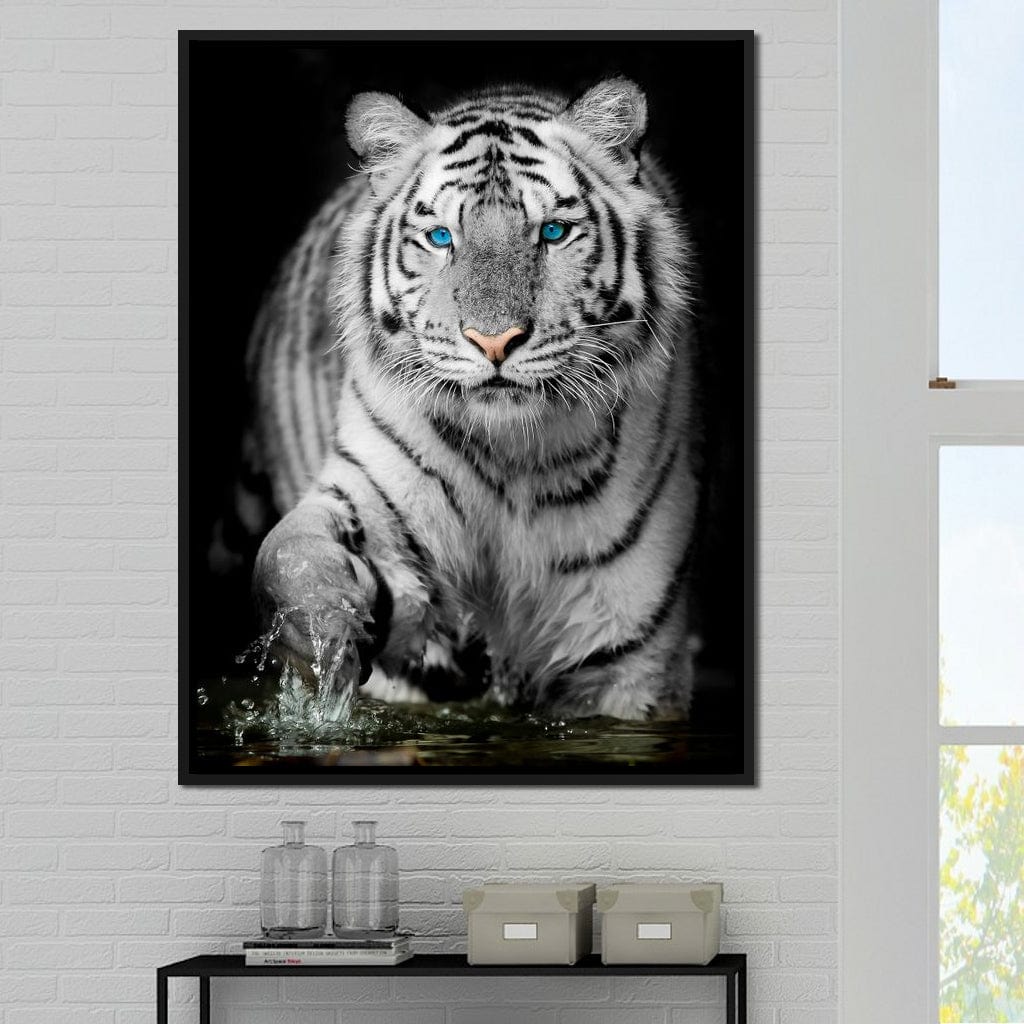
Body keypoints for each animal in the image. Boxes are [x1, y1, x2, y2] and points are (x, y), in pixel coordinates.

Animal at [243, 77, 700, 721]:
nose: (494, 340)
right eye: (441, 238)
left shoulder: (630, 655)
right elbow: (290, 554)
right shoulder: (372, 494)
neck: (514, 456)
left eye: (552, 232)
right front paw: (323, 632)